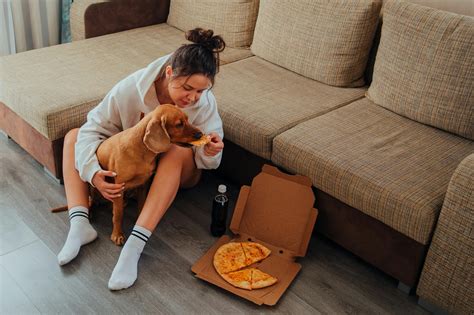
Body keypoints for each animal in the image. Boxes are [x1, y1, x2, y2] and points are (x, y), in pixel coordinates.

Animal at [53, 105, 204, 246]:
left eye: (187, 119)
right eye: (179, 124)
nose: (201, 134)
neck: (142, 152)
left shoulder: (143, 185)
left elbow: (141, 205)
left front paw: (138, 218)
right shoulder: (118, 187)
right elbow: (118, 215)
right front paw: (117, 234)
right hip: (94, 189)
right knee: (93, 202)